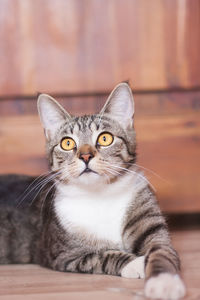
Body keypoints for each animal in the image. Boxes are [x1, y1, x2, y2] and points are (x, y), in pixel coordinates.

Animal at [0, 83, 186, 298]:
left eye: (105, 138)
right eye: (67, 143)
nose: (86, 156)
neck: (99, 196)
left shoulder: (151, 225)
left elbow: (161, 251)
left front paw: (165, 281)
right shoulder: (64, 254)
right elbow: (101, 256)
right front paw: (136, 262)